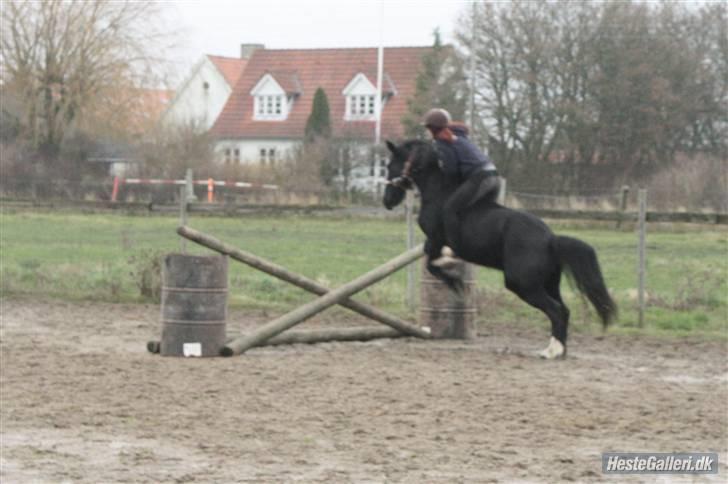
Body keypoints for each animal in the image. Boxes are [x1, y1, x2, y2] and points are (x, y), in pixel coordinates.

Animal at [382, 139, 617, 359]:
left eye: (390, 165)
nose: (387, 201)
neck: (439, 193)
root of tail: (551, 239)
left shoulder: (434, 239)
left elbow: (433, 264)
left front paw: (455, 280)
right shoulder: (433, 242)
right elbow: (432, 262)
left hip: (523, 284)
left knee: (556, 311)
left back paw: (551, 352)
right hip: (548, 283)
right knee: (563, 311)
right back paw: (557, 349)